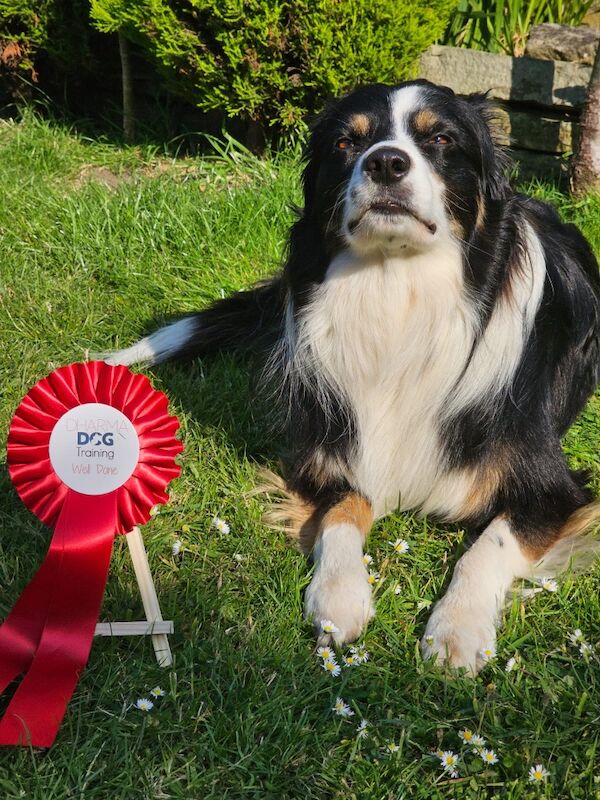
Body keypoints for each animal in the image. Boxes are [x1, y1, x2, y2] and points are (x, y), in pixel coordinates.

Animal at [108, 79, 600, 676]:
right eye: (347, 143)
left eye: (441, 138)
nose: (386, 162)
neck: (398, 289)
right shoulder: (333, 449)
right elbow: (343, 510)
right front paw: (338, 596)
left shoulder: (552, 486)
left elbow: (489, 545)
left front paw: (458, 629)